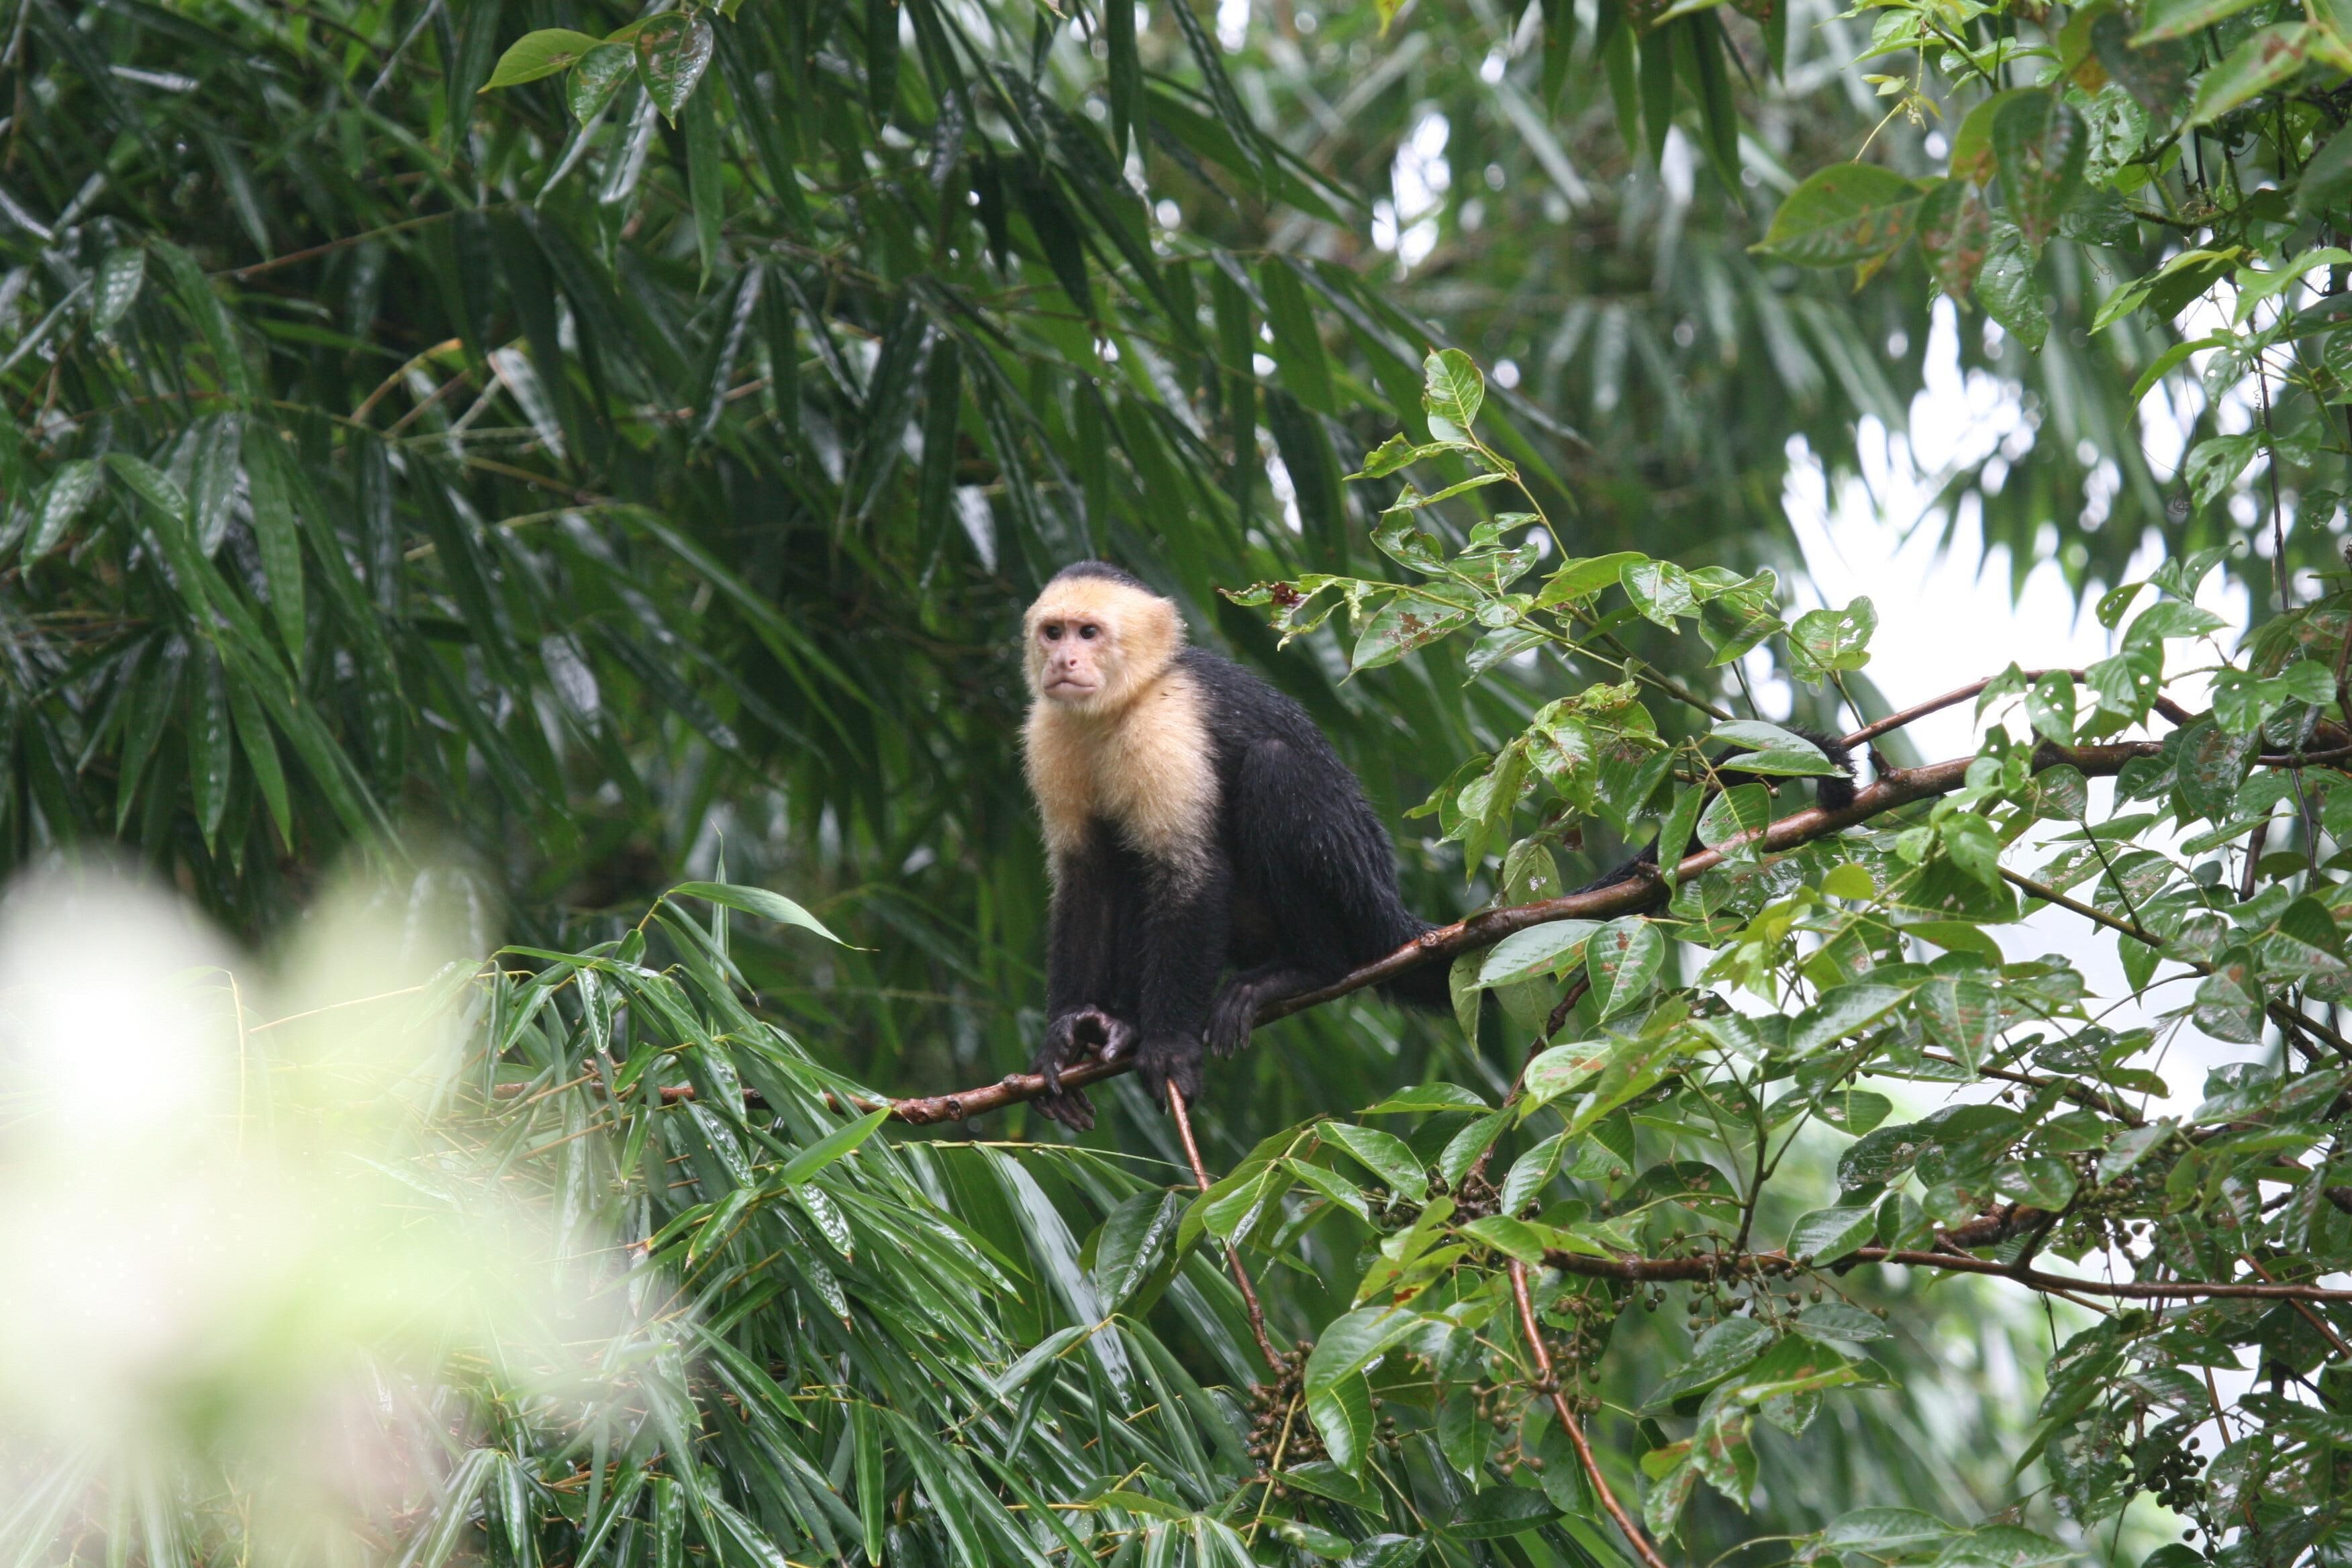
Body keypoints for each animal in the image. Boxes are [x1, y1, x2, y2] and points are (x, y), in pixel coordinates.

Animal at [1019, 562, 1451, 1129]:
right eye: (1054, 633)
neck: (1120, 705)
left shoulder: (1168, 726)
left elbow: (1191, 874)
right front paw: (1065, 1035)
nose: (1063, 660)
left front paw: (1170, 1049)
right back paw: (1119, 1024)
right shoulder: (1049, 733)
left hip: (1358, 892)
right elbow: (1088, 880)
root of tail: (1391, 910)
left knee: (1275, 769)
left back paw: (1307, 970)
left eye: (1088, 633)